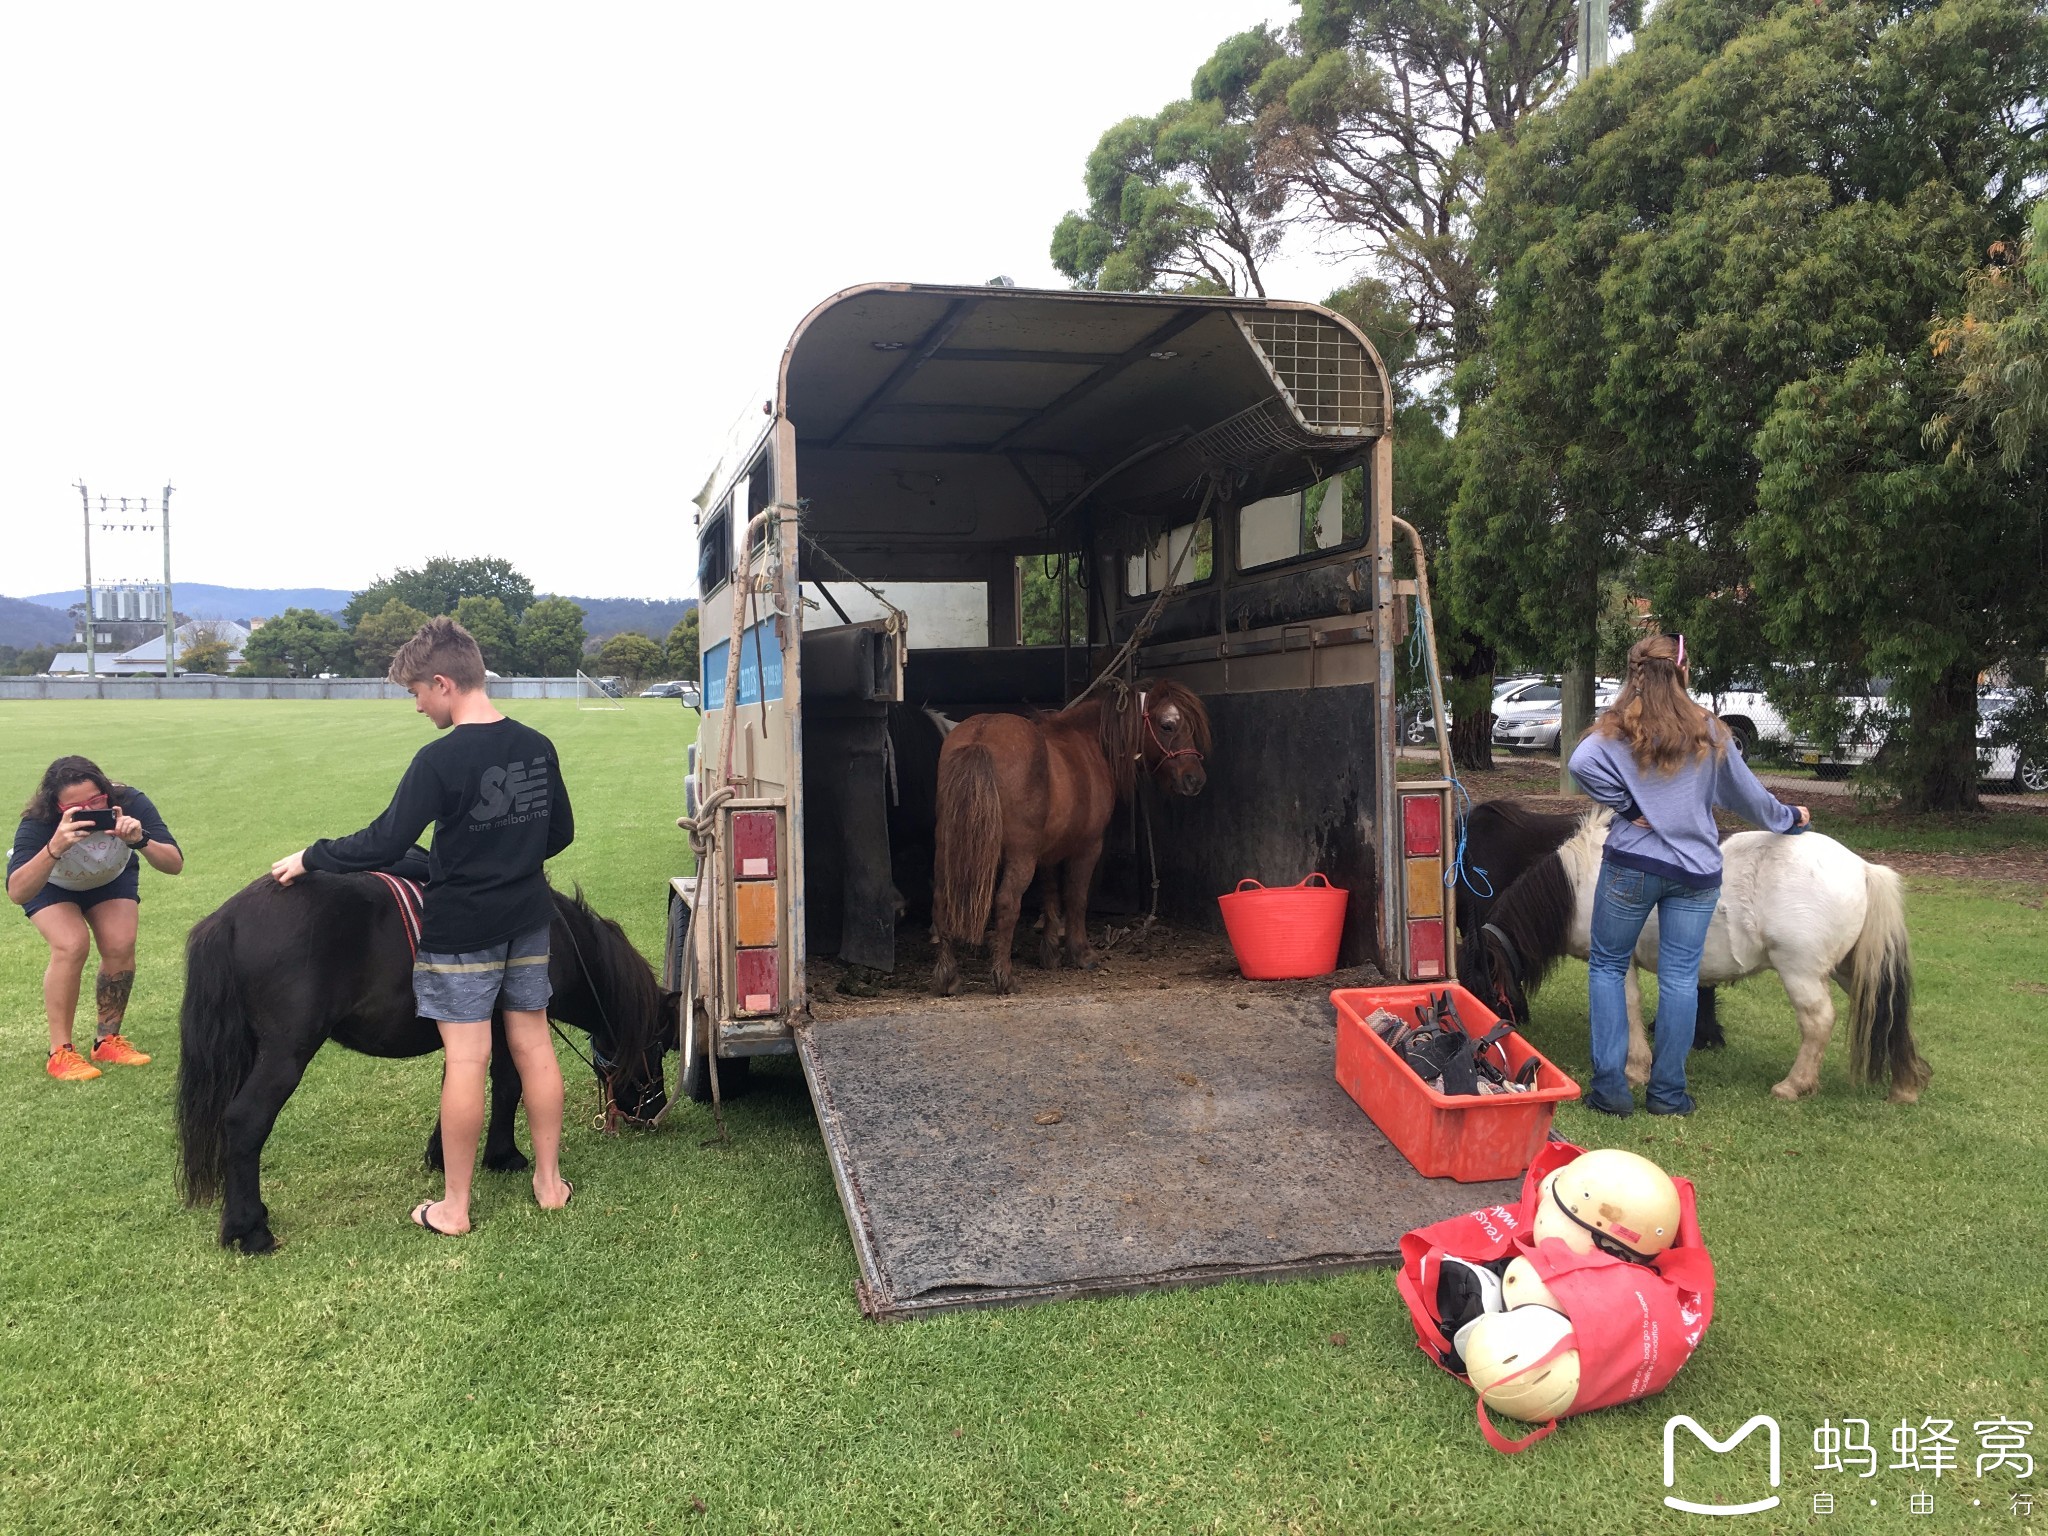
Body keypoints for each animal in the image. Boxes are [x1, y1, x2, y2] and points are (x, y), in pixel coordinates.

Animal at [177, 872, 671, 1253]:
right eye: (659, 1047)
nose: (651, 1111)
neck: (560, 940)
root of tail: (228, 918)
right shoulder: (504, 1024)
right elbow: (507, 1085)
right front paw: (502, 1155)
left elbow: (458, 1086)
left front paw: (442, 1154)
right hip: (286, 1052)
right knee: (245, 1121)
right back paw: (250, 1229)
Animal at [933, 684, 1204, 999]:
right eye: (1168, 725)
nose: (1195, 779)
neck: (1088, 743)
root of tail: (981, 737)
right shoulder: (1088, 847)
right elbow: (1076, 897)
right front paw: (1082, 953)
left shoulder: (1048, 852)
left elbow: (1050, 896)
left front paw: (1050, 953)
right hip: (1020, 857)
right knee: (1007, 903)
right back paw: (1005, 978)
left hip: (950, 850)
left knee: (942, 899)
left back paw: (948, 978)